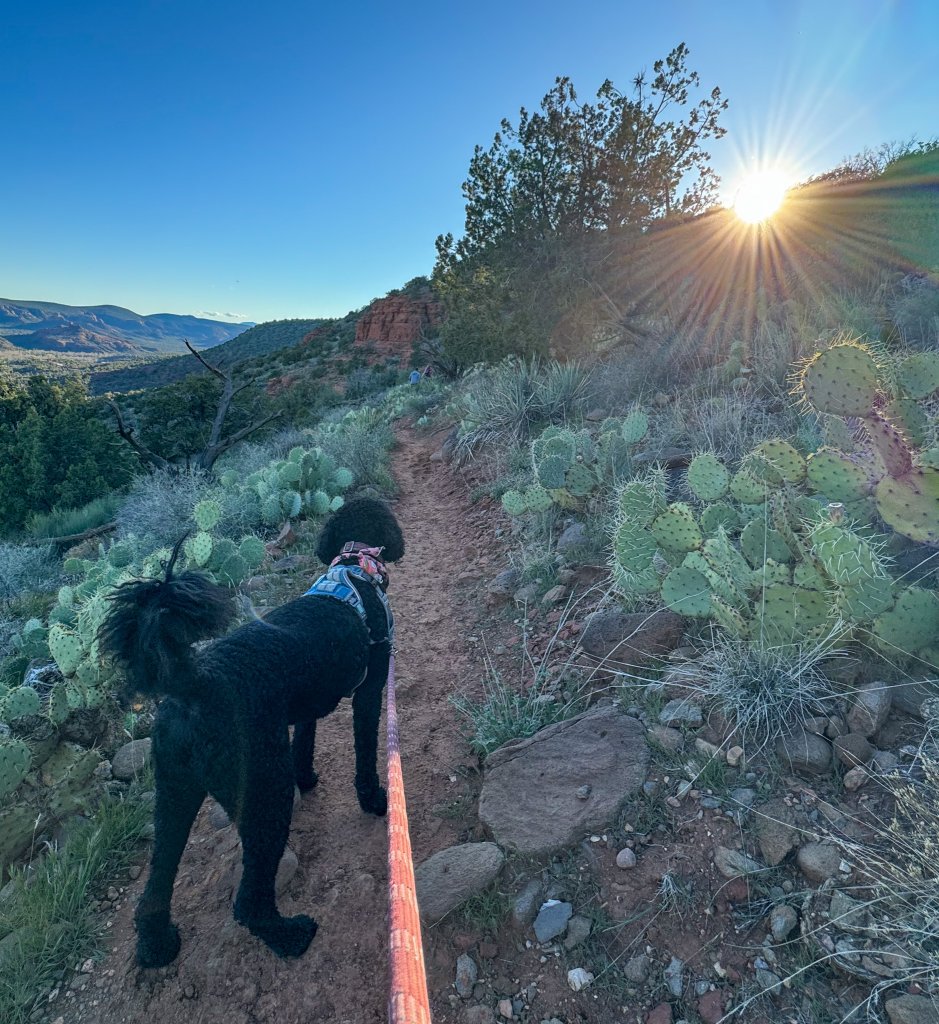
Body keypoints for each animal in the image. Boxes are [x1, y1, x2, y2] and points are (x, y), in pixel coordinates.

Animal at [100, 495, 405, 966]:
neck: (355, 567)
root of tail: (195, 685)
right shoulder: (369, 693)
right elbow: (365, 754)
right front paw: (374, 800)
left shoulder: (303, 708)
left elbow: (305, 744)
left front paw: (308, 779)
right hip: (264, 791)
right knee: (248, 901)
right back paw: (290, 936)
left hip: (174, 791)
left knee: (155, 886)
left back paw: (157, 946)